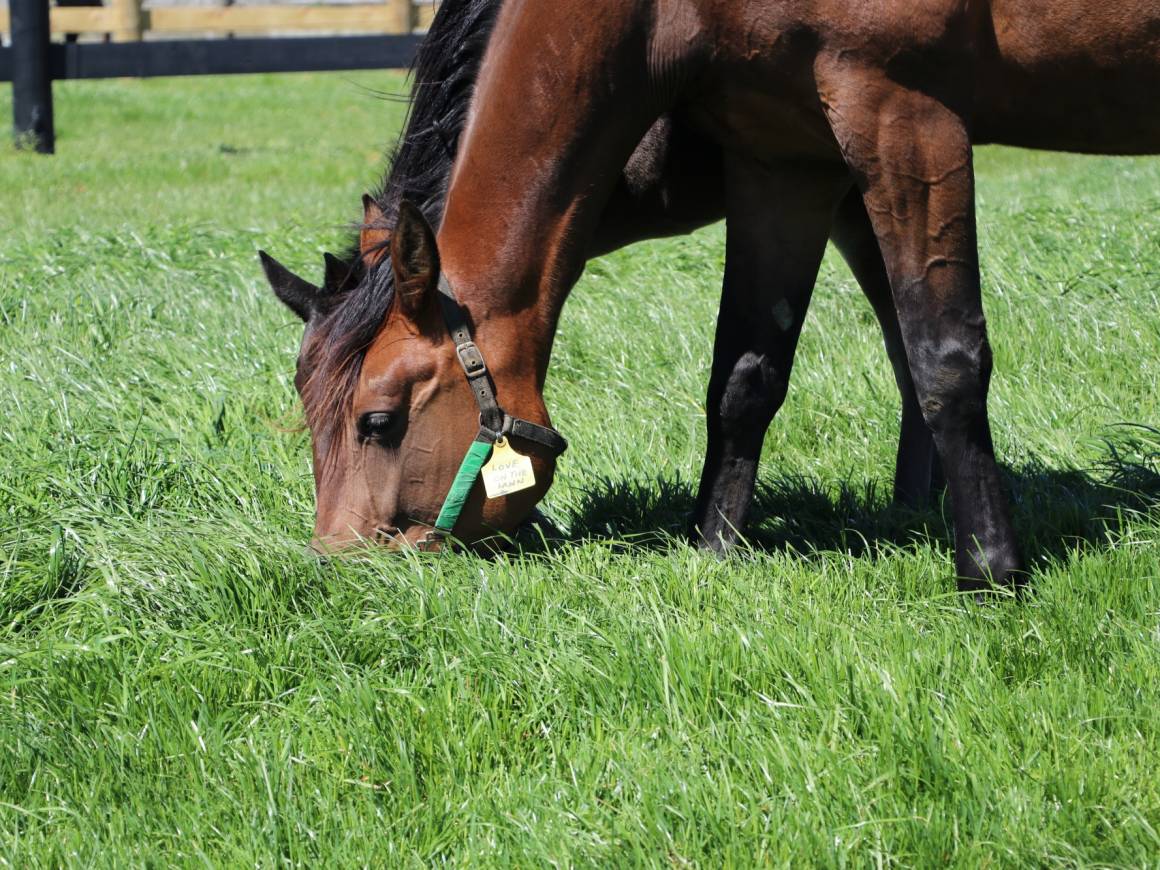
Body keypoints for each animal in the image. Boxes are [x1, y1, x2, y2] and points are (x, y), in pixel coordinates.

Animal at [265, 0, 1160, 593]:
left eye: (378, 422)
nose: (335, 572)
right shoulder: (784, 158)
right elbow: (745, 377)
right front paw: (712, 550)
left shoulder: (903, 116)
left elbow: (943, 354)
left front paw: (988, 571)